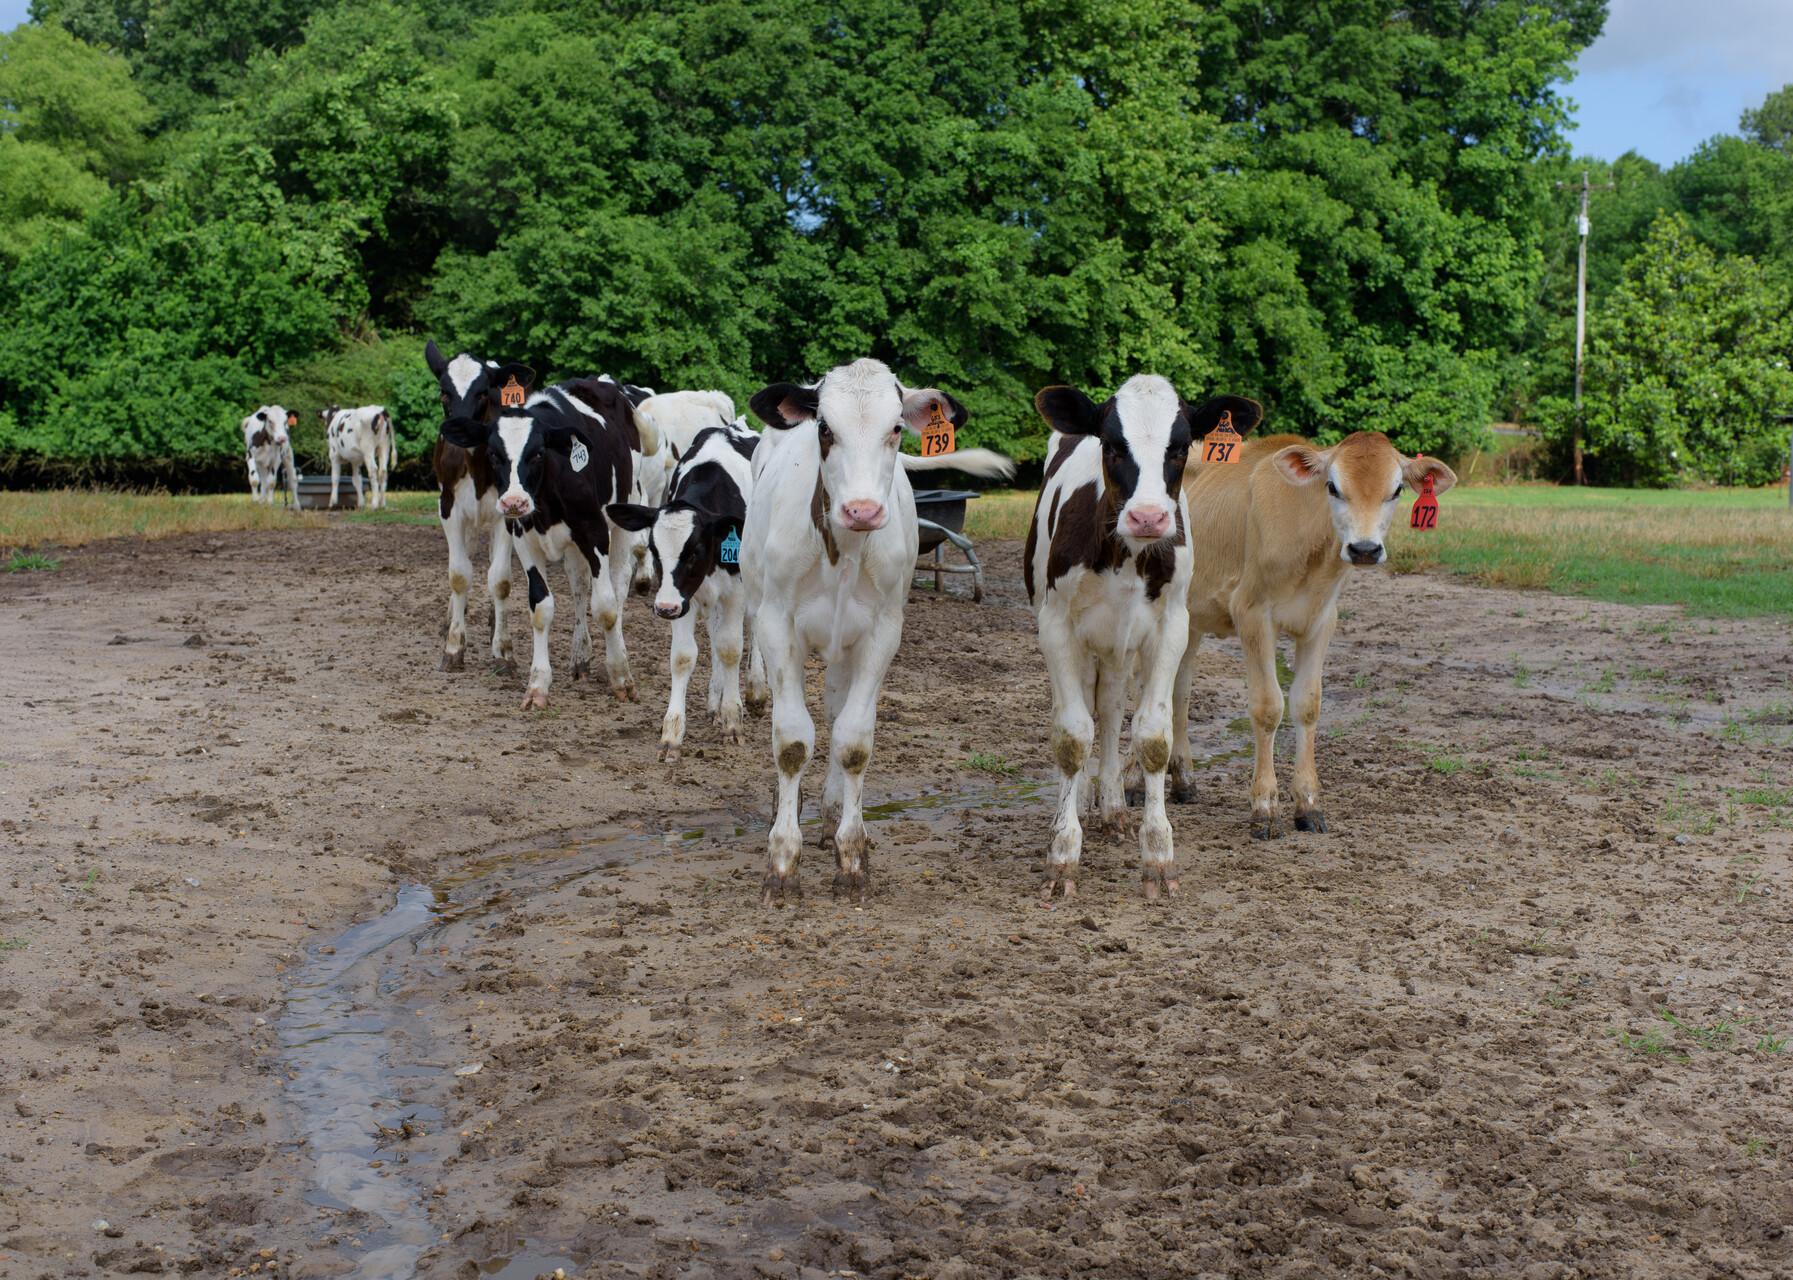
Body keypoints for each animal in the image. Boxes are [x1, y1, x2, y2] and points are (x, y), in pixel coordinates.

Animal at [437, 369, 641, 706]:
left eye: (537, 453)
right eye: (493, 454)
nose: (514, 502)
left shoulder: (594, 532)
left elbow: (606, 606)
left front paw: (621, 676)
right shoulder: (524, 538)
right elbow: (541, 607)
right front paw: (538, 685)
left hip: (624, 515)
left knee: (619, 582)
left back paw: (617, 653)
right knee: (578, 585)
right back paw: (580, 657)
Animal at [606, 419, 767, 756]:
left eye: (694, 552)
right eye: (654, 550)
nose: (664, 608)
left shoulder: (735, 591)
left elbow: (731, 648)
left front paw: (733, 720)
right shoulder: (683, 597)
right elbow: (683, 656)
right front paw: (672, 733)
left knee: (753, 623)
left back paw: (755, 691)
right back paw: (714, 700)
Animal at [742, 353, 1018, 903]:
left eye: (895, 428)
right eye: (824, 428)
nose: (863, 510)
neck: (842, 550)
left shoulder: (881, 633)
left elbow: (852, 740)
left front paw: (851, 857)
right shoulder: (777, 624)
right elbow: (791, 741)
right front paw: (782, 860)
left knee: (833, 711)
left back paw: (830, 815)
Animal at [1025, 376, 1262, 896]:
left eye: (1180, 447)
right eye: (1112, 445)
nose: (1149, 517)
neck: (1126, 555)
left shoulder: (1171, 626)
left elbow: (1152, 735)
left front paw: (1157, 854)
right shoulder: (1057, 627)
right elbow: (1071, 736)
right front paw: (1062, 851)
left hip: (1120, 647)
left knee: (1112, 709)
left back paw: (1112, 806)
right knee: (1079, 712)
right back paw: (1079, 802)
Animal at [1176, 423, 1455, 831]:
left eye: (1396, 490)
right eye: (1333, 487)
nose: (1364, 549)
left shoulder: (1322, 620)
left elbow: (1308, 705)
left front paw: (1307, 804)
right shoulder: (1252, 613)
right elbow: (1267, 707)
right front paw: (1264, 806)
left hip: (1190, 623)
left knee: (1177, 690)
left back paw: (1182, 779)